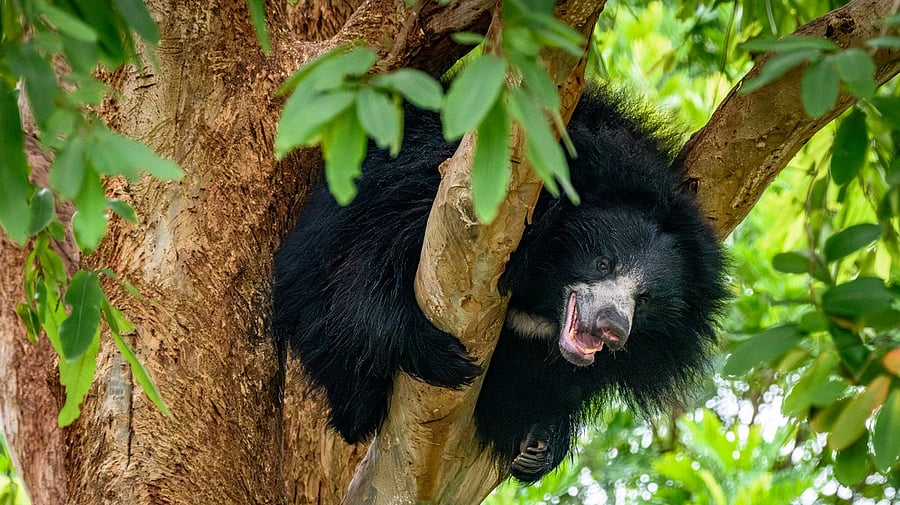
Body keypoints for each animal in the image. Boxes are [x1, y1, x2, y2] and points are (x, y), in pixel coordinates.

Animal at [272, 89, 729, 483]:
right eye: (603, 262)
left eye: (645, 299)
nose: (612, 328)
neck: (540, 290)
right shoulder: (433, 192)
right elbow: (367, 272)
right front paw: (438, 355)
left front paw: (539, 444)